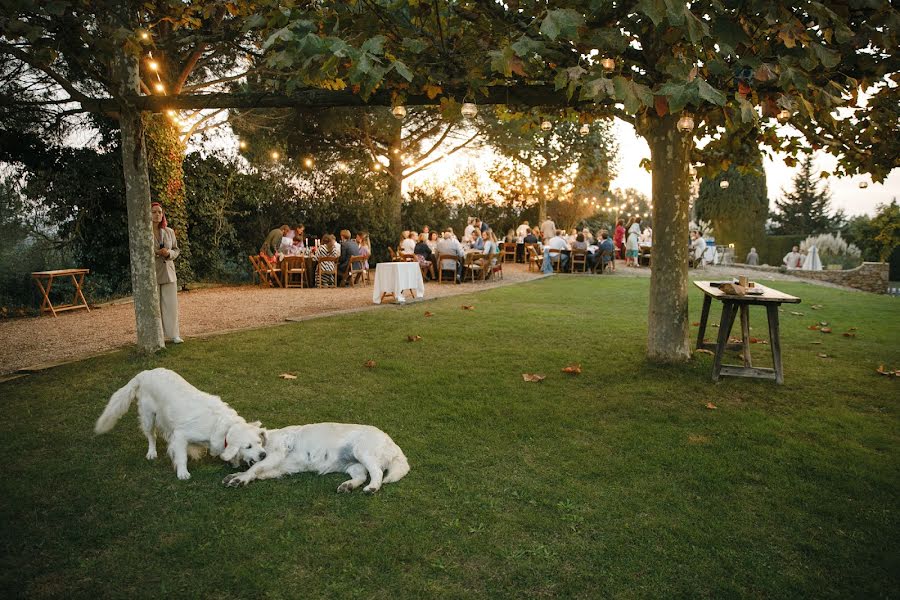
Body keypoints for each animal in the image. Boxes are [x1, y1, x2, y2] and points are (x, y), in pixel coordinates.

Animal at [98, 368, 268, 480]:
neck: (224, 427)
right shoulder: (180, 435)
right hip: (148, 416)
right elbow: (181, 456)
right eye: (248, 446)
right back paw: (152, 452)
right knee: (152, 436)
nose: (264, 455)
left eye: (259, 442)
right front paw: (182, 472)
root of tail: (145, 373)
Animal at [223, 422, 410, 492]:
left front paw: (240, 478)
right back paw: (348, 485)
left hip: (363, 452)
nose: (262, 454)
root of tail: (393, 443)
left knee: (377, 473)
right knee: (362, 476)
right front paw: (237, 475)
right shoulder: (278, 468)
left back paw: (372, 487)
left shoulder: (276, 454)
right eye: (248, 446)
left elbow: (255, 468)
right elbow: (256, 471)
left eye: (257, 443)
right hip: (354, 465)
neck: (268, 442)